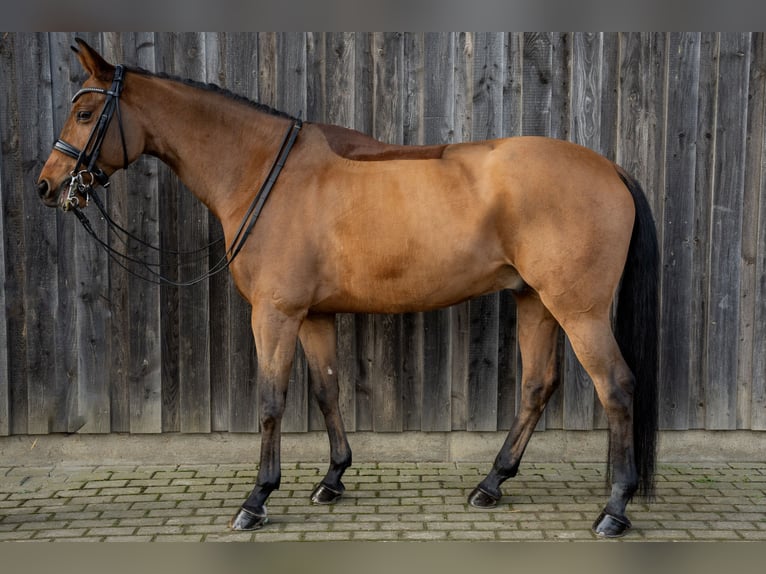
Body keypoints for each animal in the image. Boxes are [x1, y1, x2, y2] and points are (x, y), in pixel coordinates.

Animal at [37, 39, 660, 540]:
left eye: (85, 112)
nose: (47, 185)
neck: (267, 173)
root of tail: (610, 169)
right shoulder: (313, 315)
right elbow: (327, 391)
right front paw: (333, 478)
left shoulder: (275, 314)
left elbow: (271, 401)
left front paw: (256, 499)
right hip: (535, 301)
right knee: (536, 386)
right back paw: (491, 483)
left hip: (579, 311)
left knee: (617, 388)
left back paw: (614, 509)